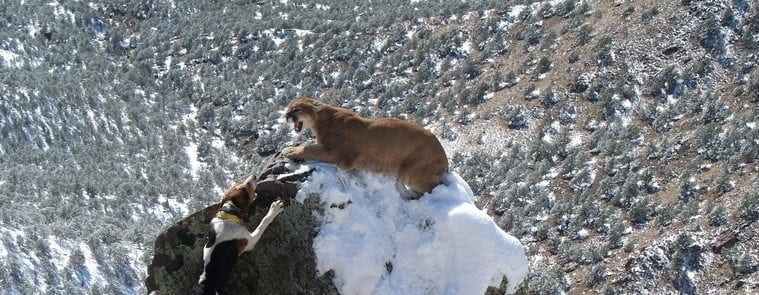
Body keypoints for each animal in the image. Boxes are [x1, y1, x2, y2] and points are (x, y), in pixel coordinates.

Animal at [284, 97, 452, 199]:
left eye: (297, 109)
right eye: (288, 108)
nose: (286, 116)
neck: (321, 121)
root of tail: (445, 157)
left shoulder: (338, 154)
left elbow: (309, 148)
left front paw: (289, 151)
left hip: (410, 171)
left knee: (432, 187)